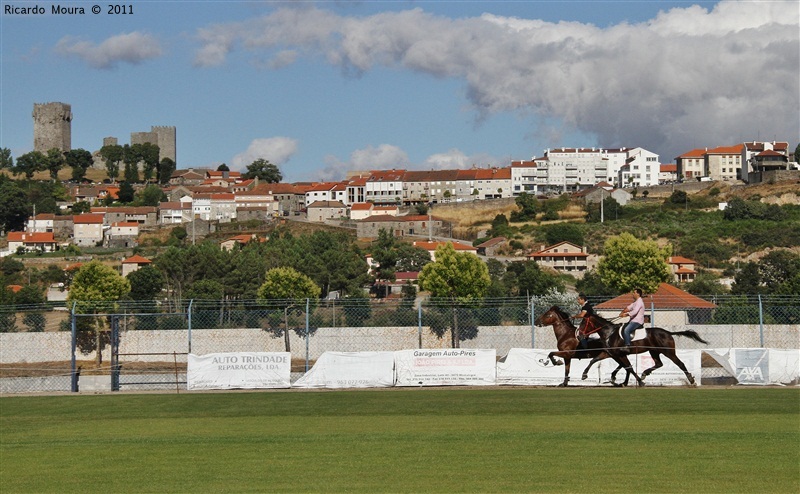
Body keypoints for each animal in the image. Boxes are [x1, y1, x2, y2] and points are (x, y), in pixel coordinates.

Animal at [580, 314, 708, 388]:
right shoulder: (609, 353)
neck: (609, 333)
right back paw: (645, 373)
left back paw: (692, 381)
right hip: (654, 351)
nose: (579, 334)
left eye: (584, 323)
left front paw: (637, 383)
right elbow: (594, 360)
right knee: (659, 363)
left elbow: (628, 367)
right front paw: (584, 374)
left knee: (680, 364)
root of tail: (668, 332)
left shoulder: (619, 354)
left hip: (668, 352)